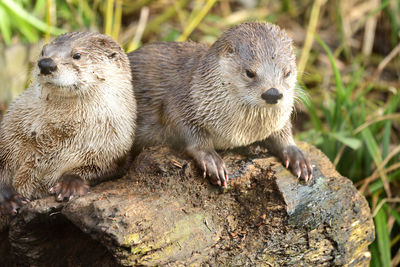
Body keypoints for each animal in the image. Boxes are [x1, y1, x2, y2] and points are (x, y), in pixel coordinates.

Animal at [0, 31, 136, 216]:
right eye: (43, 51)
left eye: (77, 55)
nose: (46, 64)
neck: (55, 135)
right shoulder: (9, 134)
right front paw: (9, 198)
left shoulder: (113, 149)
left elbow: (99, 168)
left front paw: (69, 184)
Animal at [128, 22, 312, 187]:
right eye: (249, 73)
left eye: (287, 73)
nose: (272, 93)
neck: (242, 132)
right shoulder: (180, 103)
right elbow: (186, 130)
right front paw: (211, 160)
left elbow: (283, 133)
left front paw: (297, 157)